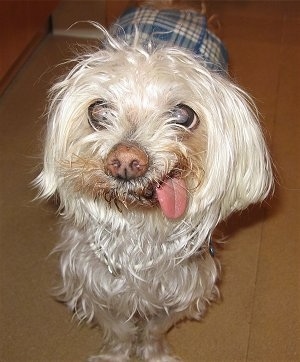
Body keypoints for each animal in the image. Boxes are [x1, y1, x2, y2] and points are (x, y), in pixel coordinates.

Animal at [34, 0, 274, 362]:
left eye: (183, 115)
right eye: (98, 110)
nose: (126, 161)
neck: (141, 227)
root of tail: (172, 7)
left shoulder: (188, 284)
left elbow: (155, 329)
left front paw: (154, 352)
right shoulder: (93, 284)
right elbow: (119, 330)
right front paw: (116, 354)